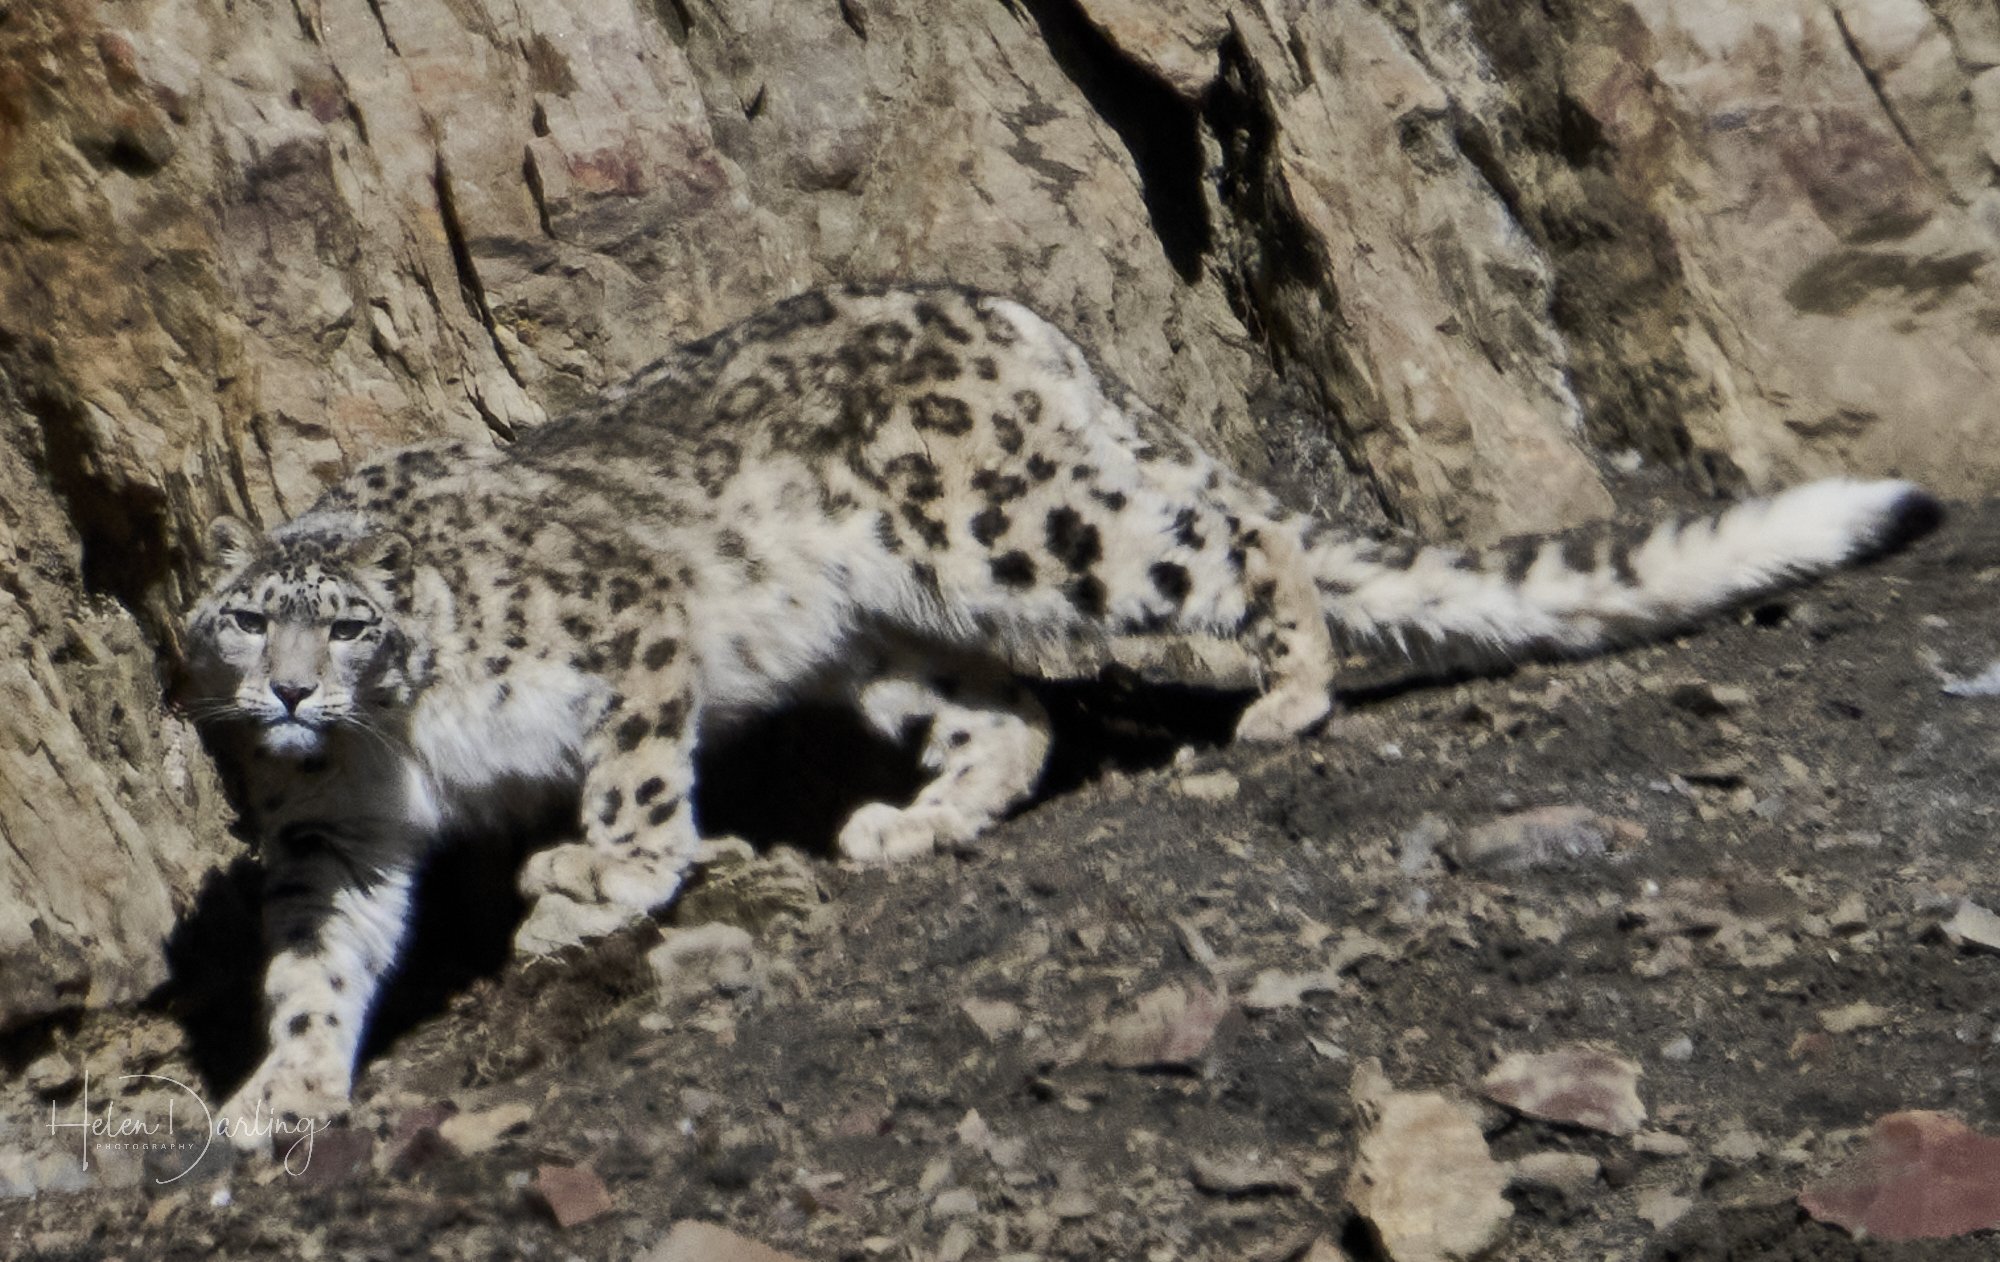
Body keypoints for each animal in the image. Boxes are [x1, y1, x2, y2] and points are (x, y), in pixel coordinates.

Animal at [182, 282, 1941, 1142]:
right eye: (244, 619)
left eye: (348, 619)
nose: (292, 690)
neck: (397, 748)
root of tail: (1013, 319)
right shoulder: (332, 835)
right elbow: (315, 963)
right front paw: (279, 1092)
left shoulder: (626, 621)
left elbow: (631, 775)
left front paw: (591, 878)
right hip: (905, 625)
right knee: (1013, 716)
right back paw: (916, 821)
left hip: (1015, 528)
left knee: (1240, 536)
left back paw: (1289, 688)